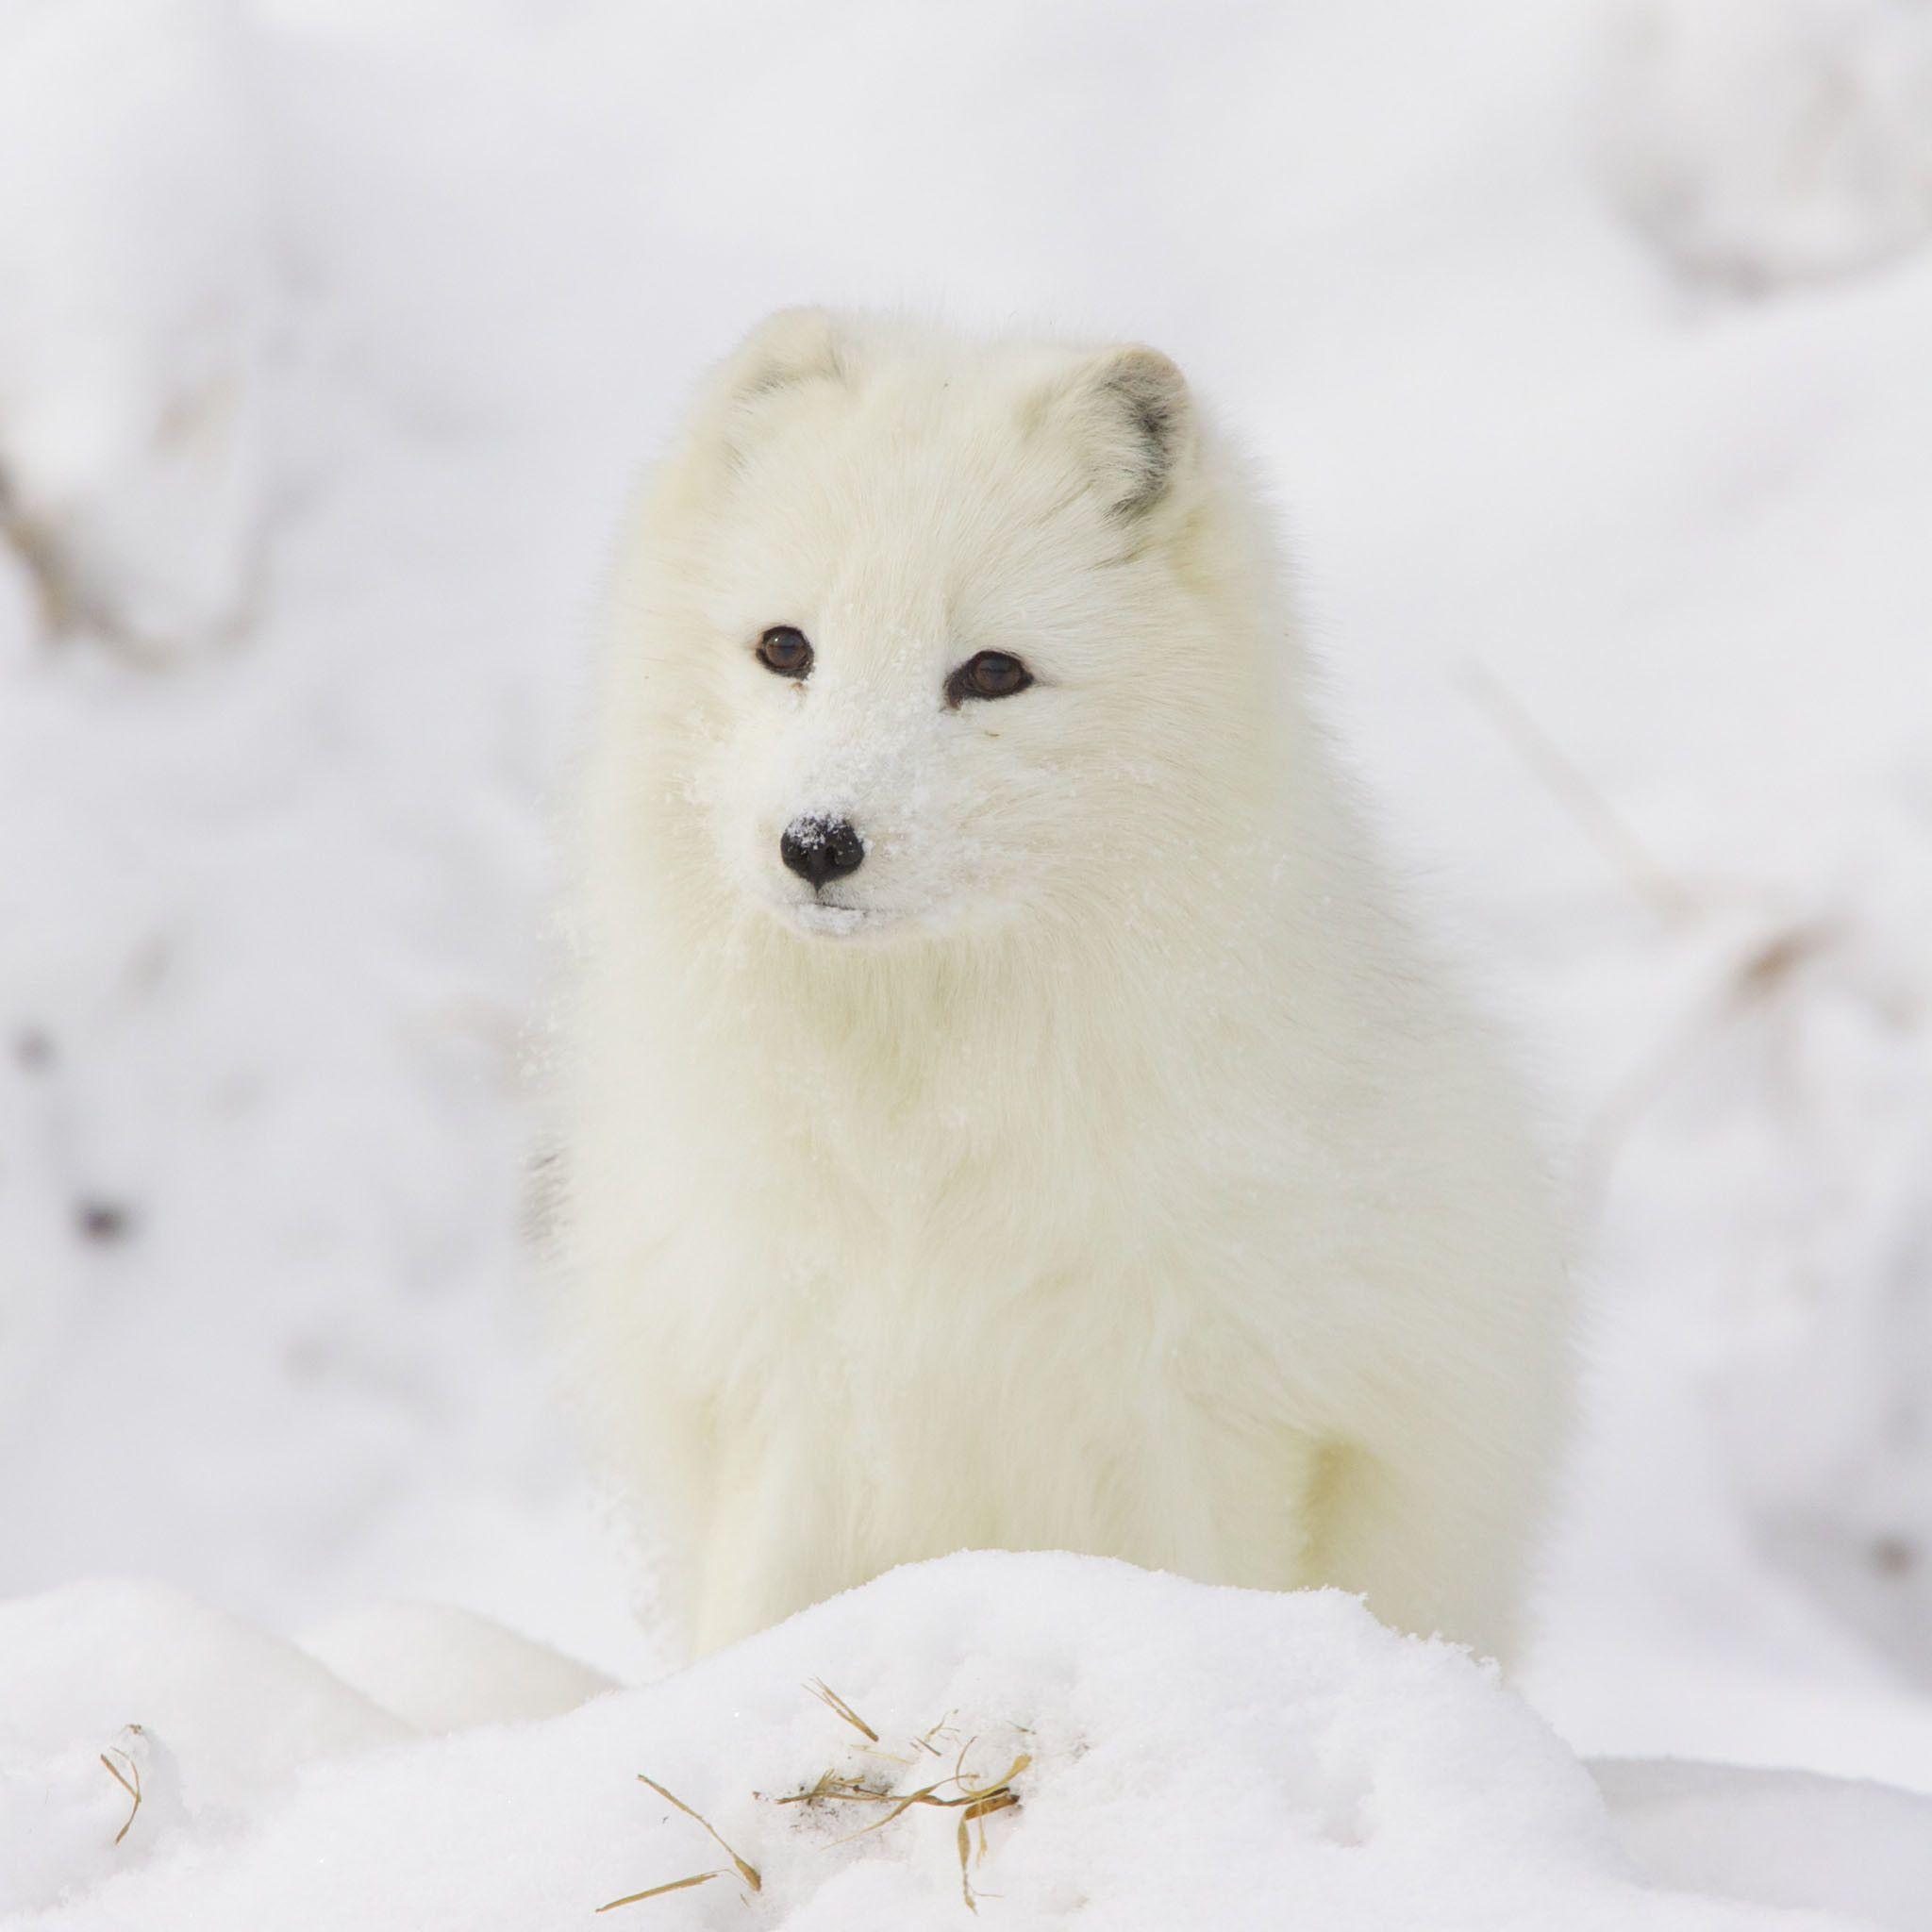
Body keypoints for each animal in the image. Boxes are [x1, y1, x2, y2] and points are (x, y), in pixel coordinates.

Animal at [560, 309, 1570, 1663]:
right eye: (786, 649)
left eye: (991, 673)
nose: (818, 843)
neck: (920, 1125)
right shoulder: (794, 1380)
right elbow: (756, 1621)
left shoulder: (1210, 1409)